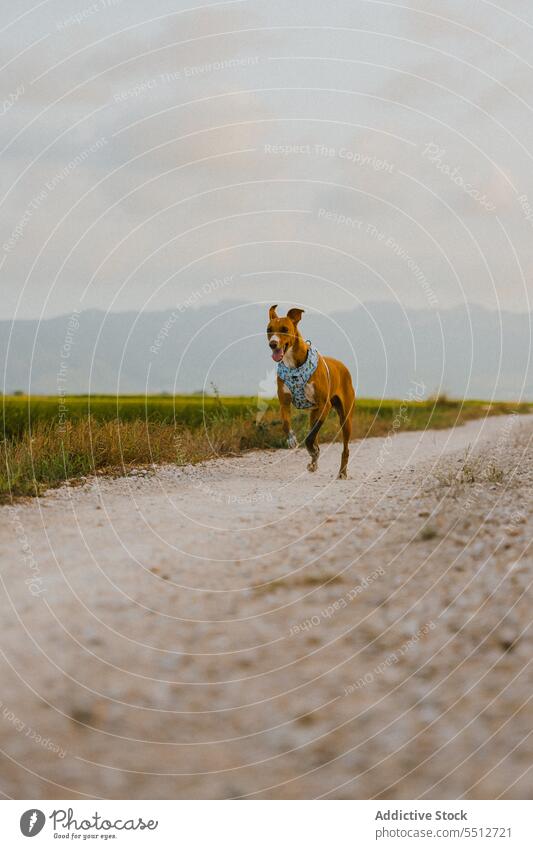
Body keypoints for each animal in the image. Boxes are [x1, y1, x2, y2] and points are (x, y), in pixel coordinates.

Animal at [264, 304, 356, 476]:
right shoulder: (284, 403)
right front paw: (292, 439)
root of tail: (342, 366)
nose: (272, 344)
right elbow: (286, 424)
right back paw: (314, 461)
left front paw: (311, 450)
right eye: (269, 330)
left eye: (285, 329)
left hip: (345, 418)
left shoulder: (324, 405)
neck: (293, 366)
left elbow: (310, 437)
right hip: (314, 413)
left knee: (345, 448)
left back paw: (342, 472)